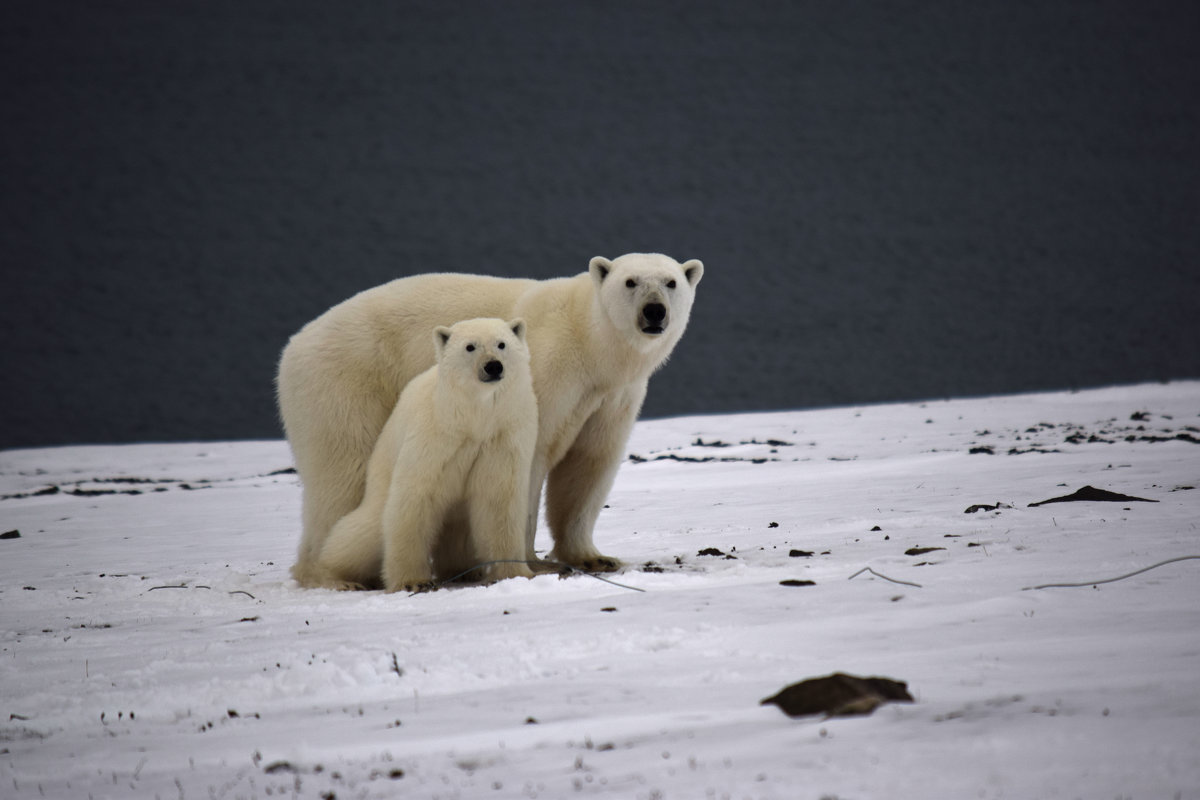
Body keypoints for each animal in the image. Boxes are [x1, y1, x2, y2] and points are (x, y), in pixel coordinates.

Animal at [277, 253, 700, 578]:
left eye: (671, 282)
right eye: (630, 282)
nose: (654, 311)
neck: (590, 342)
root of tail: (293, 345)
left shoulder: (612, 395)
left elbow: (589, 463)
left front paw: (595, 557)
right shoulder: (545, 372)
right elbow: (531, 456)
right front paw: (532, 562)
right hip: (346, 384)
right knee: (343, 474)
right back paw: (328, 572)